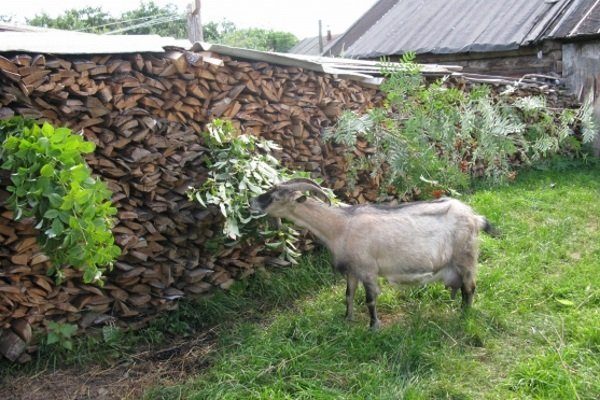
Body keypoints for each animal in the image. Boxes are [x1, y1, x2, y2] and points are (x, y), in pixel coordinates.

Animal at [250, 180, 496, 330]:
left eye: (276, 196)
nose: (251, 202)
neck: (341, 226)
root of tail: (476, 218)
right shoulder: (352, 270)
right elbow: (348, 295)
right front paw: (347, 318)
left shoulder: (368, 269)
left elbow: (370, 299)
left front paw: (373, 327)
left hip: (466, 258)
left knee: (470, 288)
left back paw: (464, 315)